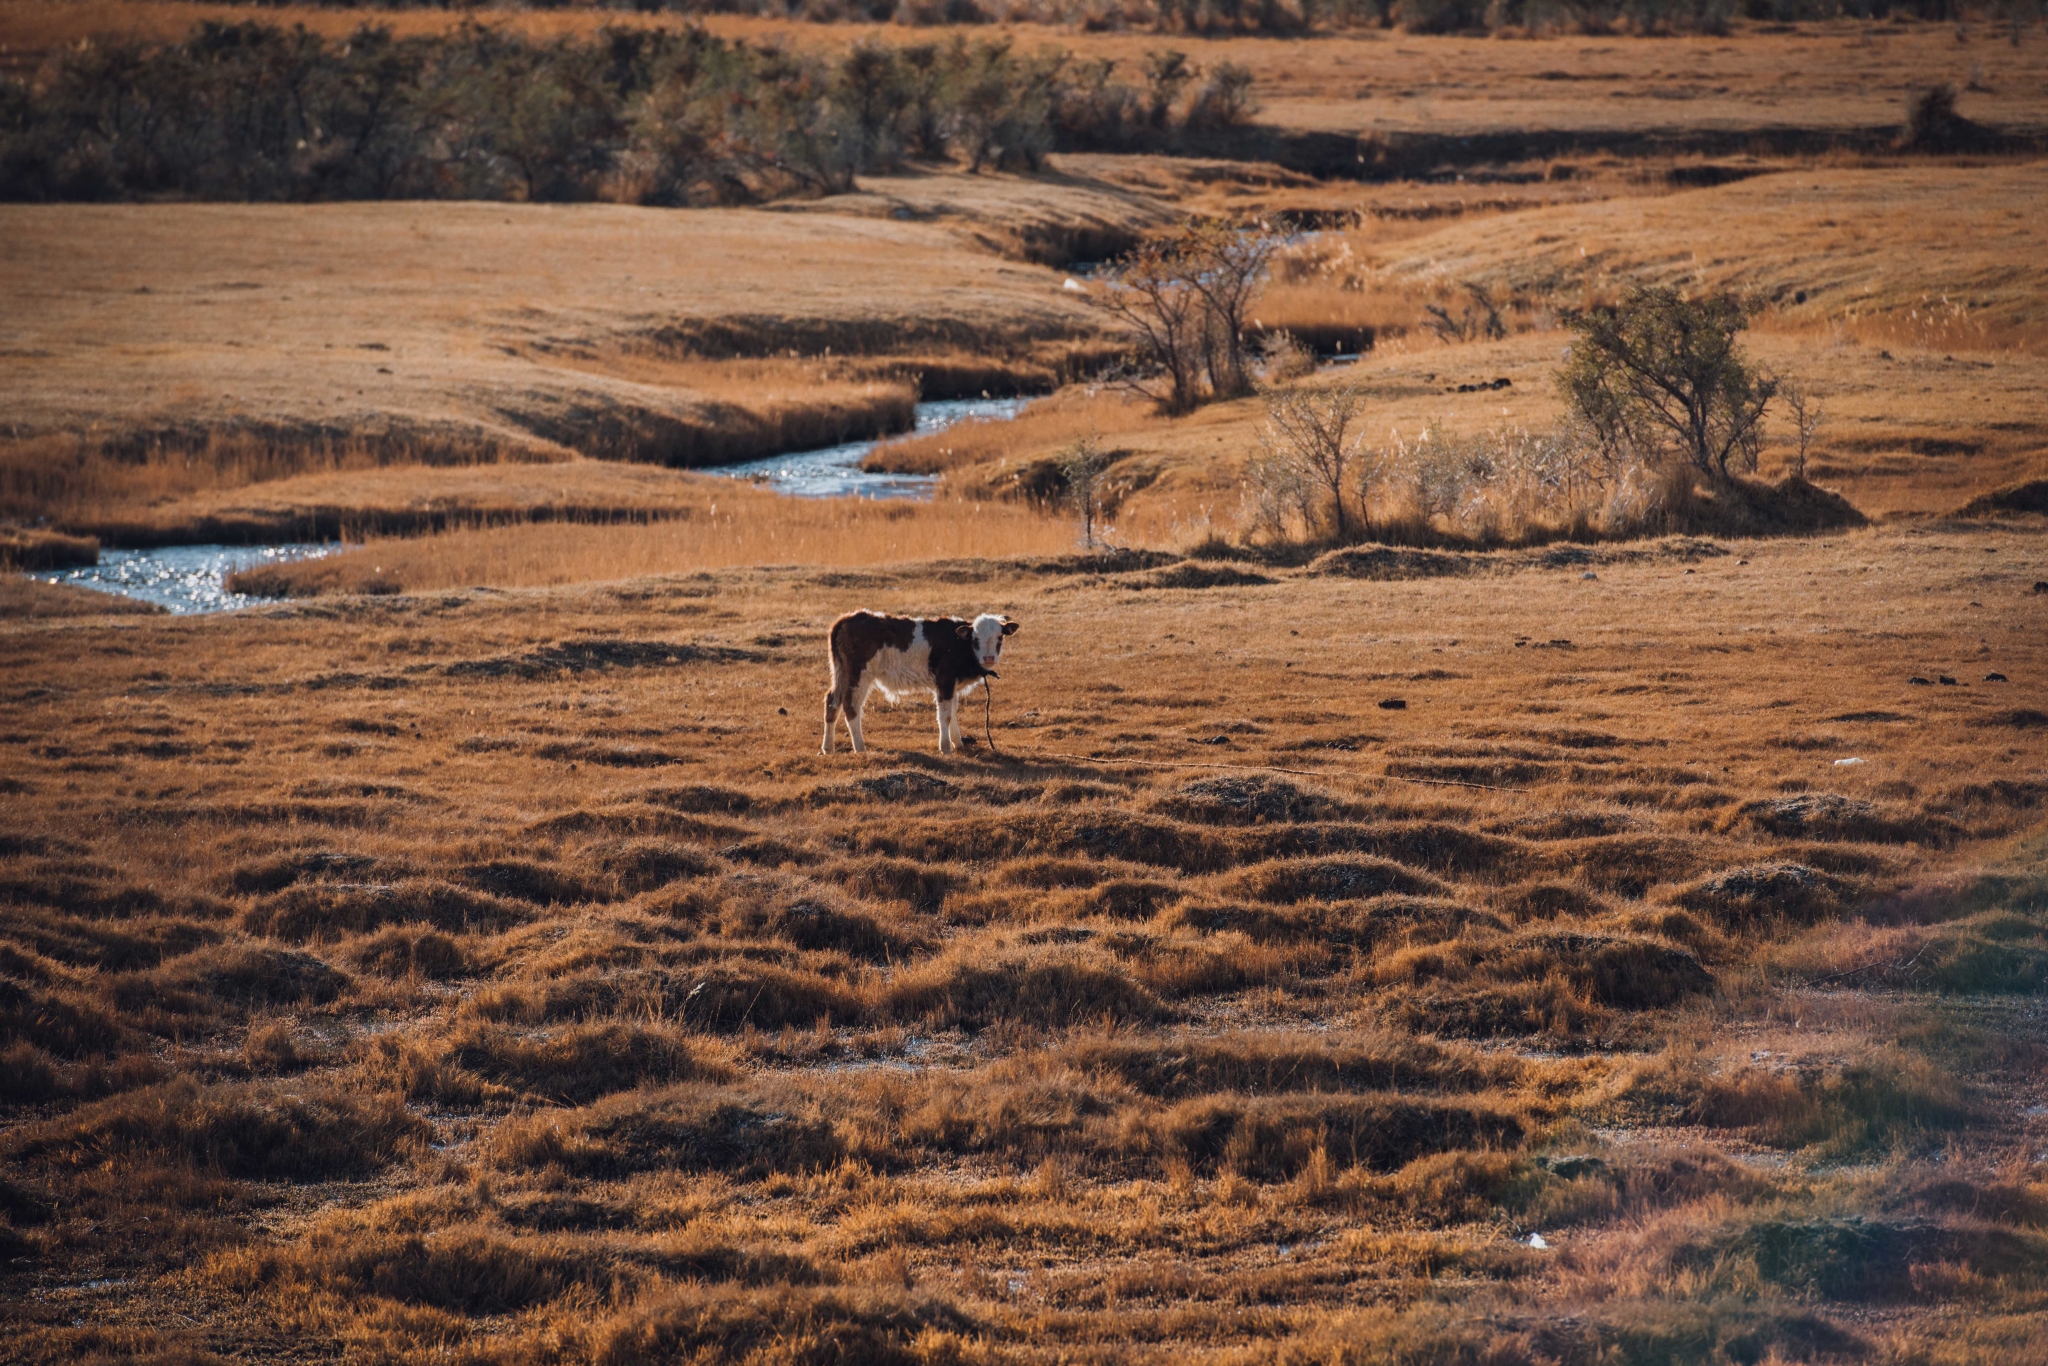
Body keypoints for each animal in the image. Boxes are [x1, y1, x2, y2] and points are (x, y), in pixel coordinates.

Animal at [823, 610, 1024, 757]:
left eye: (1000, 637)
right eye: (975, 638)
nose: (989, 658)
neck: (959, 644)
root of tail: (848, 618)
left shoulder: (952, 686)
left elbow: (953, 712)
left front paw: (958, 743)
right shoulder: (944, 681)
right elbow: (945, 716)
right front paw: (945, 748)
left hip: (841, 671)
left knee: (832, 701)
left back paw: (828, 748)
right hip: (859, 674)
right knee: (851, 706)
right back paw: (860, 748)